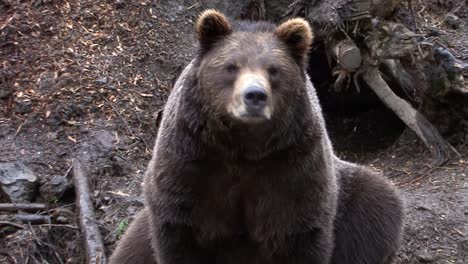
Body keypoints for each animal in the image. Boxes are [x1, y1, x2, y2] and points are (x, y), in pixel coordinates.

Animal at [108, 9, 404, 262]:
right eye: (231, 66)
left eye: (274, 69)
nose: (254, 96)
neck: (243, 147)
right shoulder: (190, 163)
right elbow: (180, 233)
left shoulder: (293, 168)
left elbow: (298, 232)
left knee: (378, 205)